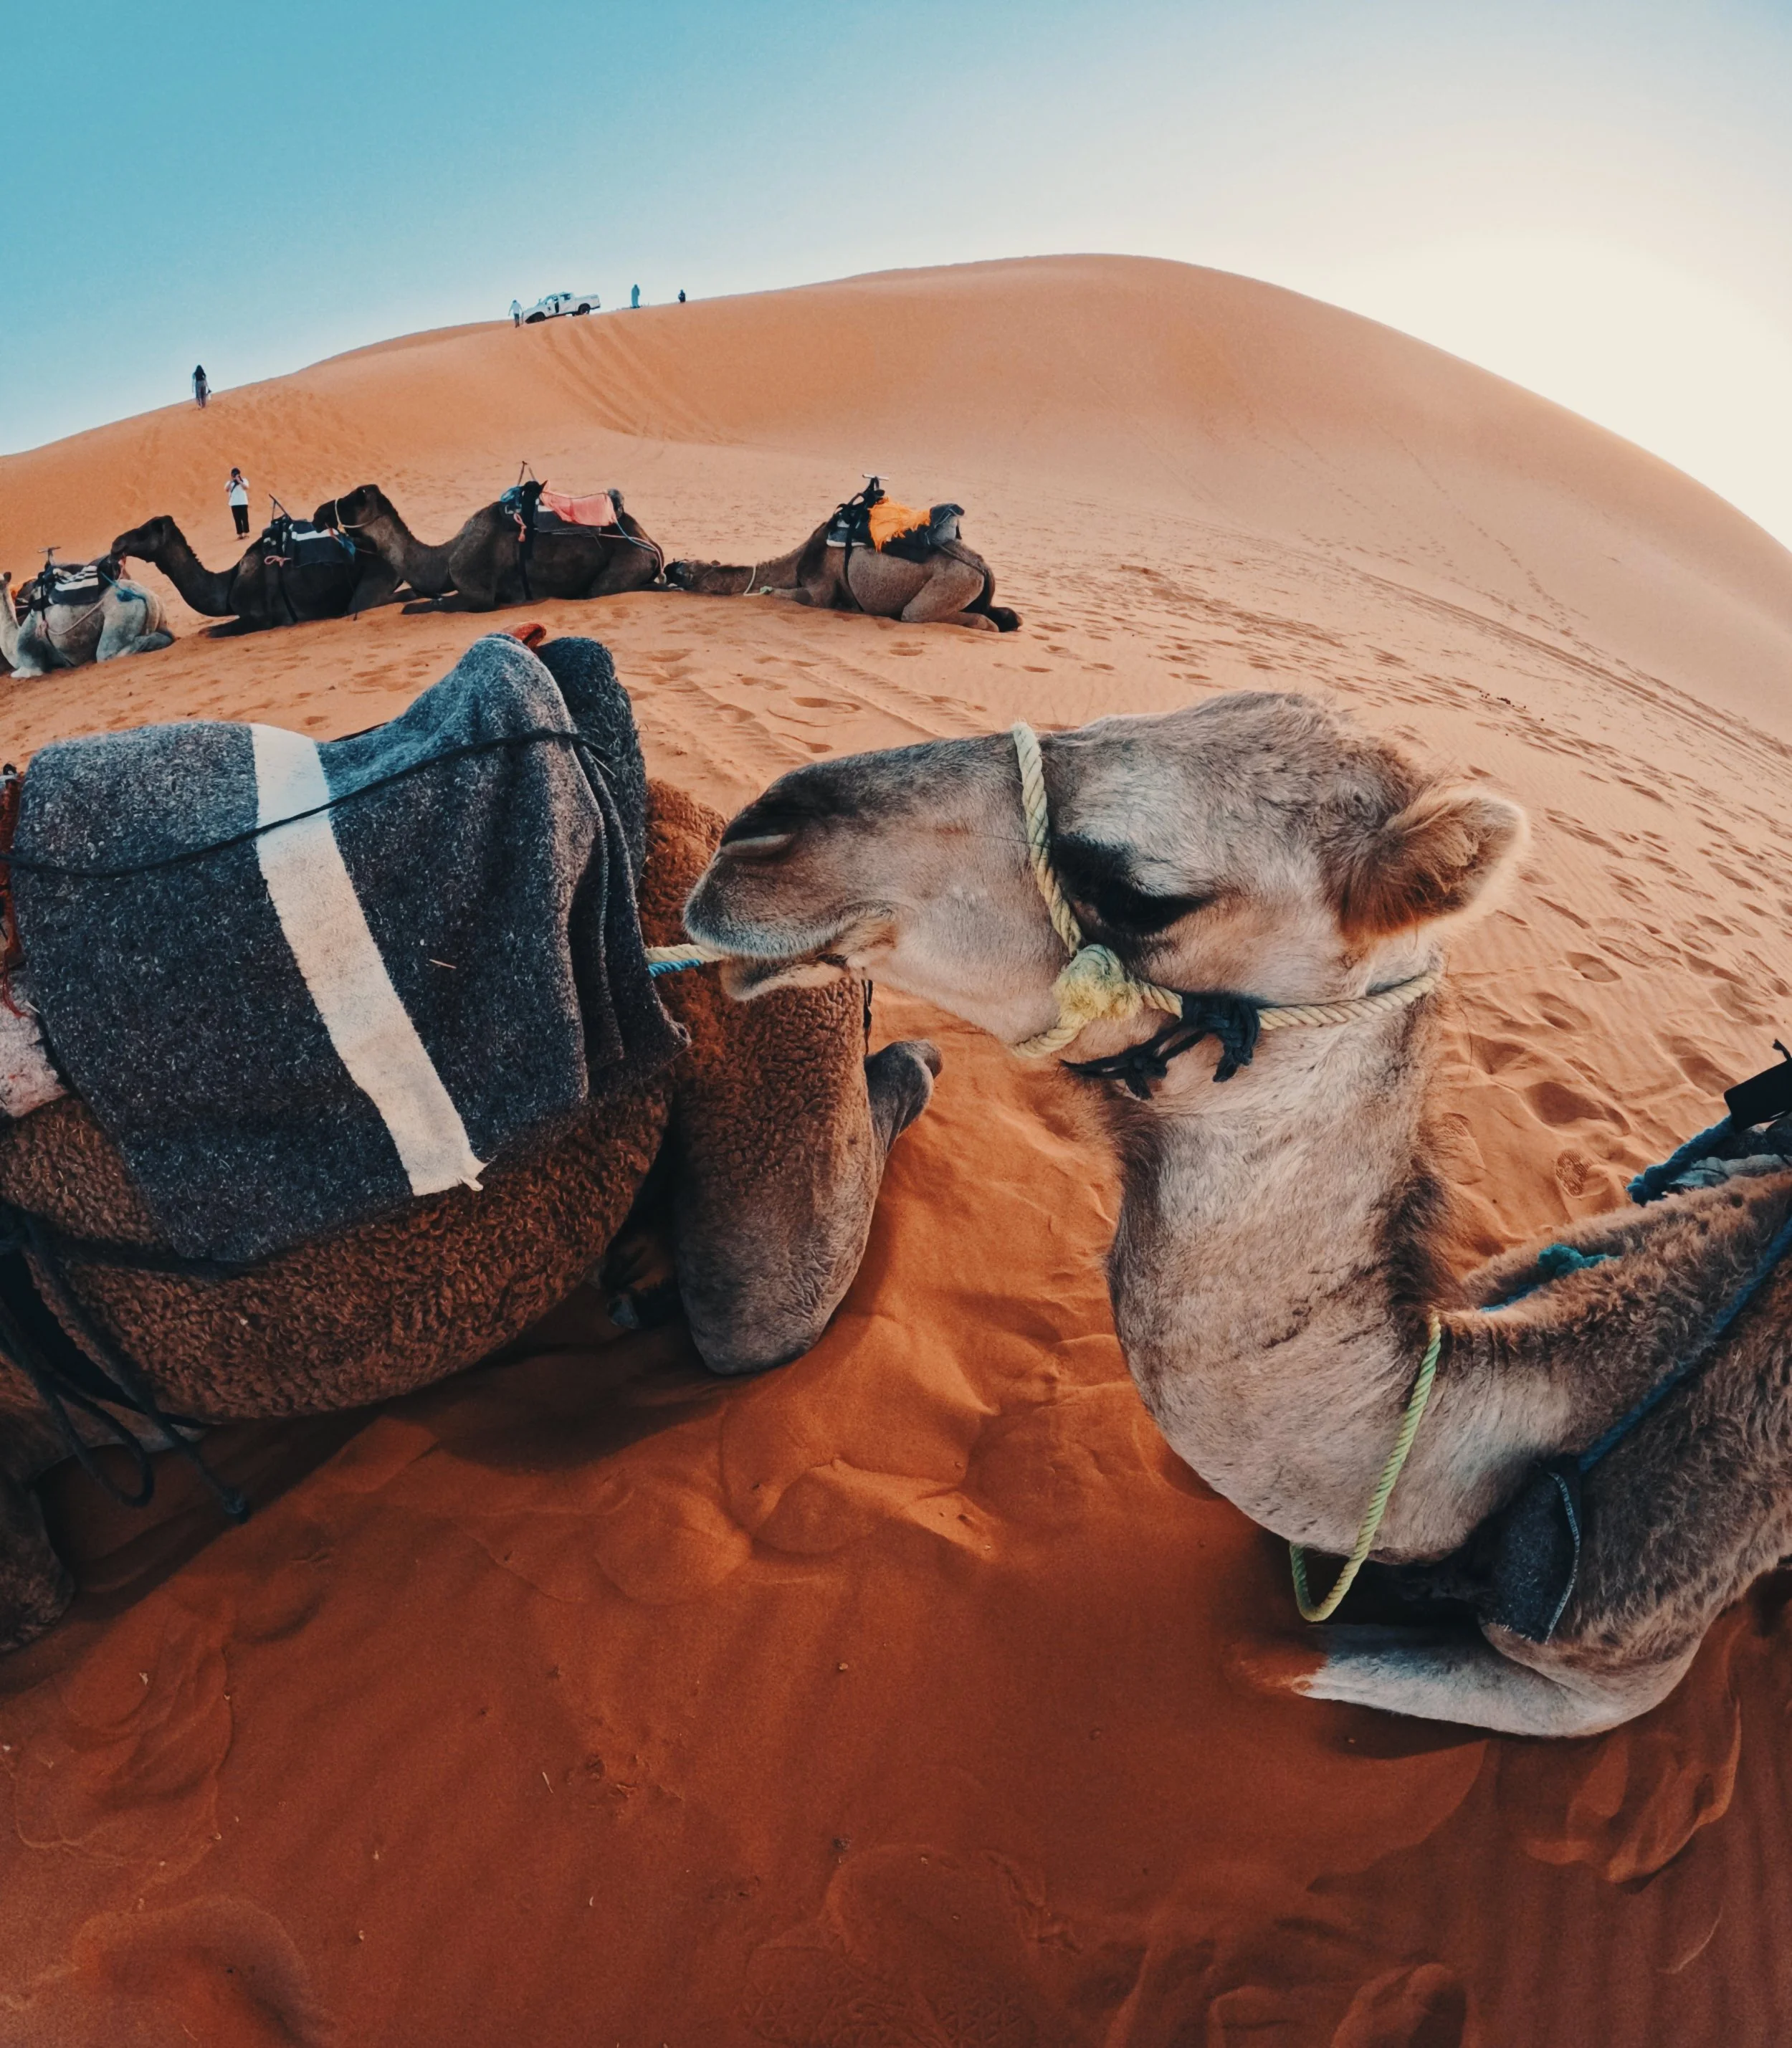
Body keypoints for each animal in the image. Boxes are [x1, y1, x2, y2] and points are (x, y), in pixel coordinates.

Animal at [314, 483, 665, 610]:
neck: (445, 557)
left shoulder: (478, 593)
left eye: (349, 500)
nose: (318, 514)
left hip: (625, 564)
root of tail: (650, 543)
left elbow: (421, 606)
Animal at [665, 513, 1021, 632]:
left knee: (917, 614)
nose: (670, 565)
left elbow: (781, 595)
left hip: (952, 583)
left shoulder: (820, 589)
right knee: (1007, 615)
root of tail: (982, 566)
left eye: (688, 570)